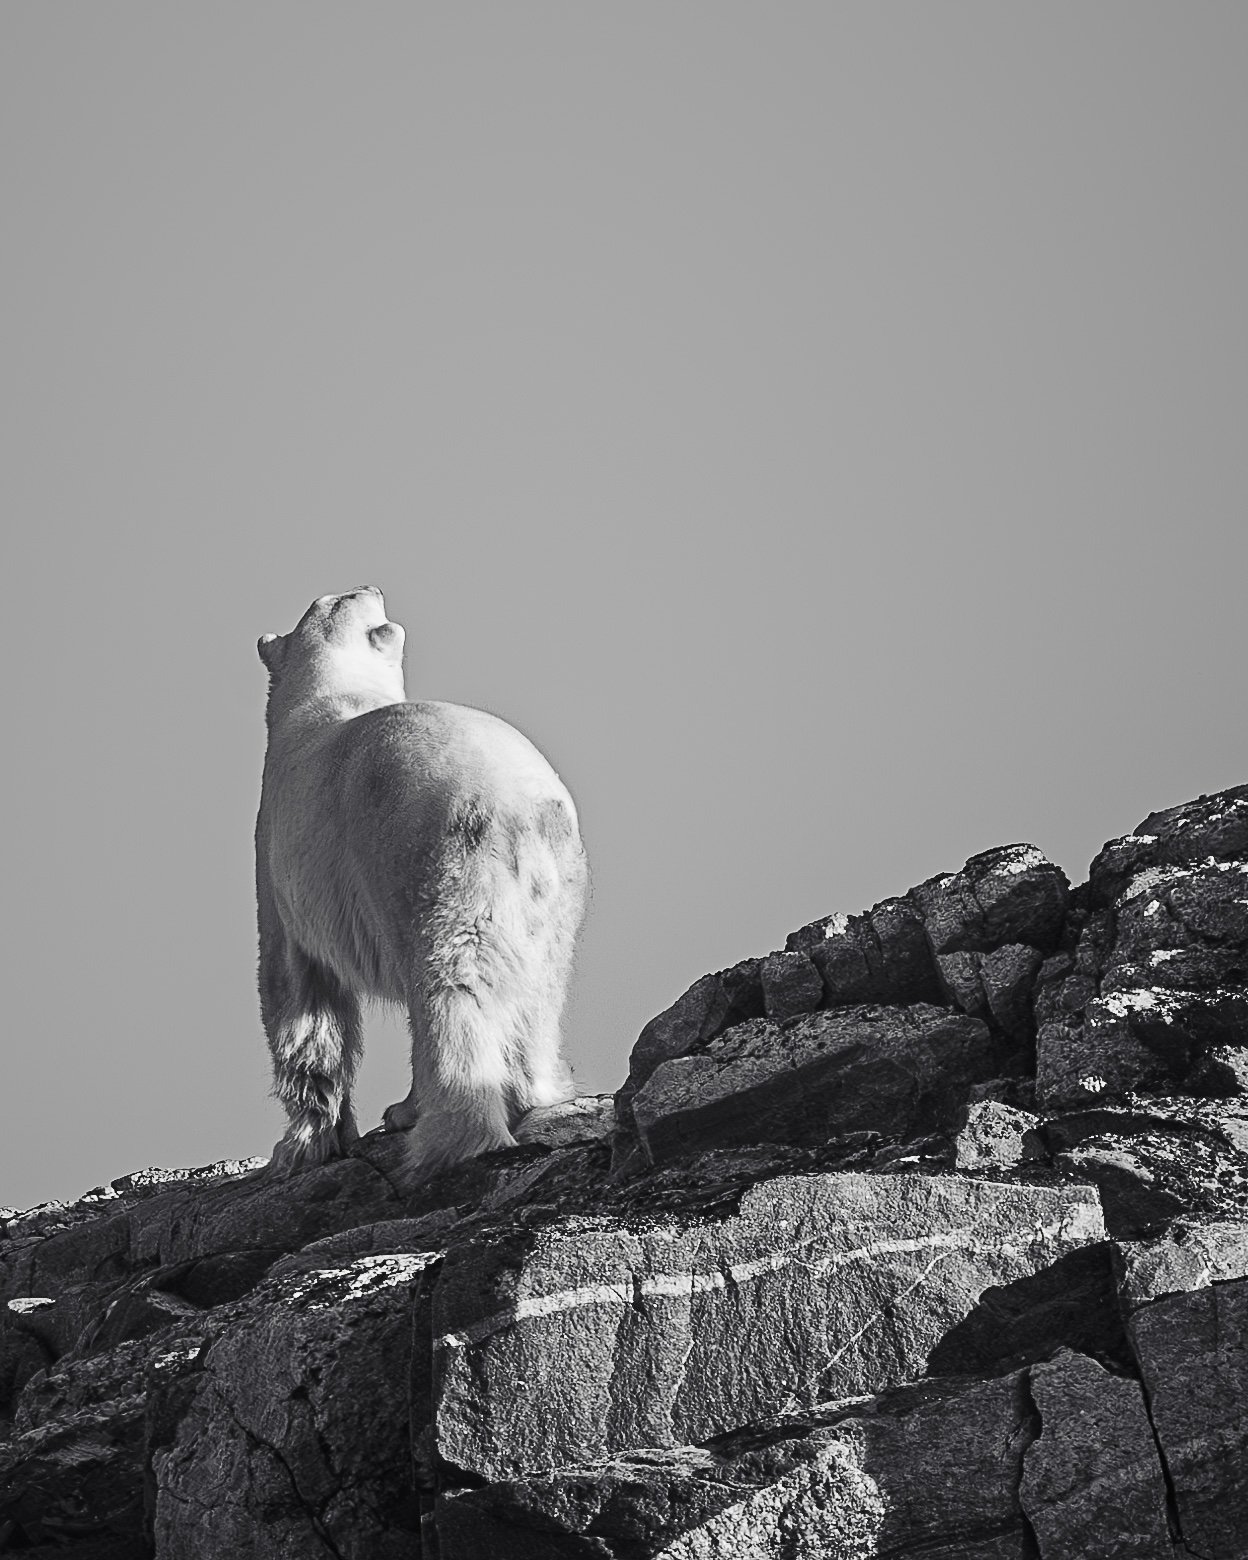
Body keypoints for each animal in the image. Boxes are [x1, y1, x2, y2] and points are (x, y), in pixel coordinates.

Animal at [254, 586, 587, 1178]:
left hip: (431, 859)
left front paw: (300, 1144)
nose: (369, 586)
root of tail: (518, 807)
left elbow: (298, 1000)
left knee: (448, 985)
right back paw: (535, 1093)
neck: (330, 694)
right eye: (342, 597)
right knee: (538, 987)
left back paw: (447, 1134)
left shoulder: (279, 861)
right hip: (556, 886)